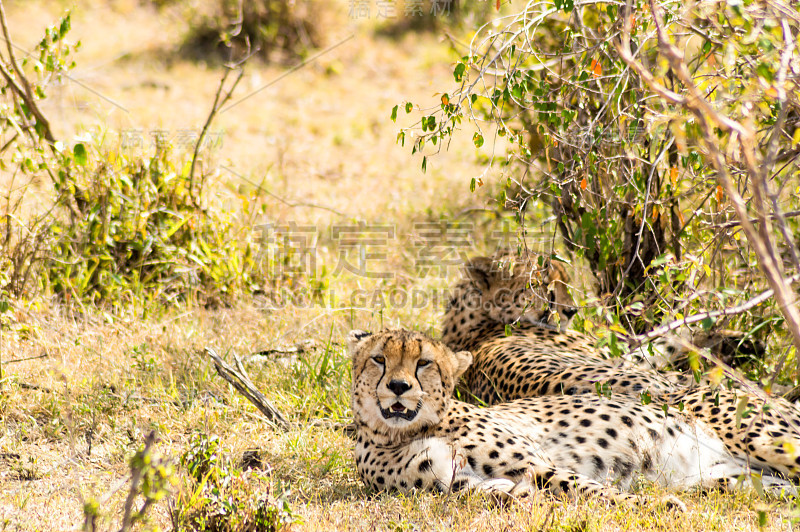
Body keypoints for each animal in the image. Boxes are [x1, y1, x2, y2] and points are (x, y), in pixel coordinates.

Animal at [350, 328, 800, 502]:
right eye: (379, 359)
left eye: (423, 363)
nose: (398, 387)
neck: (400, 433)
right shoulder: (465, 485)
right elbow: (503, 493)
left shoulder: (535, 464)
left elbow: (588, 488)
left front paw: (650, 506)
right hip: (734, 479)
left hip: (767, 440)